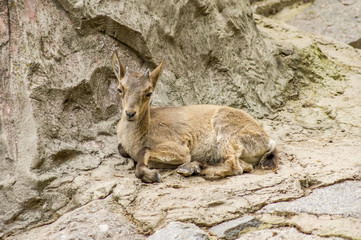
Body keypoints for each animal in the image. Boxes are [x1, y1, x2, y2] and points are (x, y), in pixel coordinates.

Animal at [111, 52, 278, 183]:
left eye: (148, 92)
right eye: (120, 89)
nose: (130, 113)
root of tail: (268, 141)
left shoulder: (179, 149)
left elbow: (144, 152)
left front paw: (153, 176)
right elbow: (122, 149)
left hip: (225, 130)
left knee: (234, 166)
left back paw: (190, 168)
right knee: (245, 166)